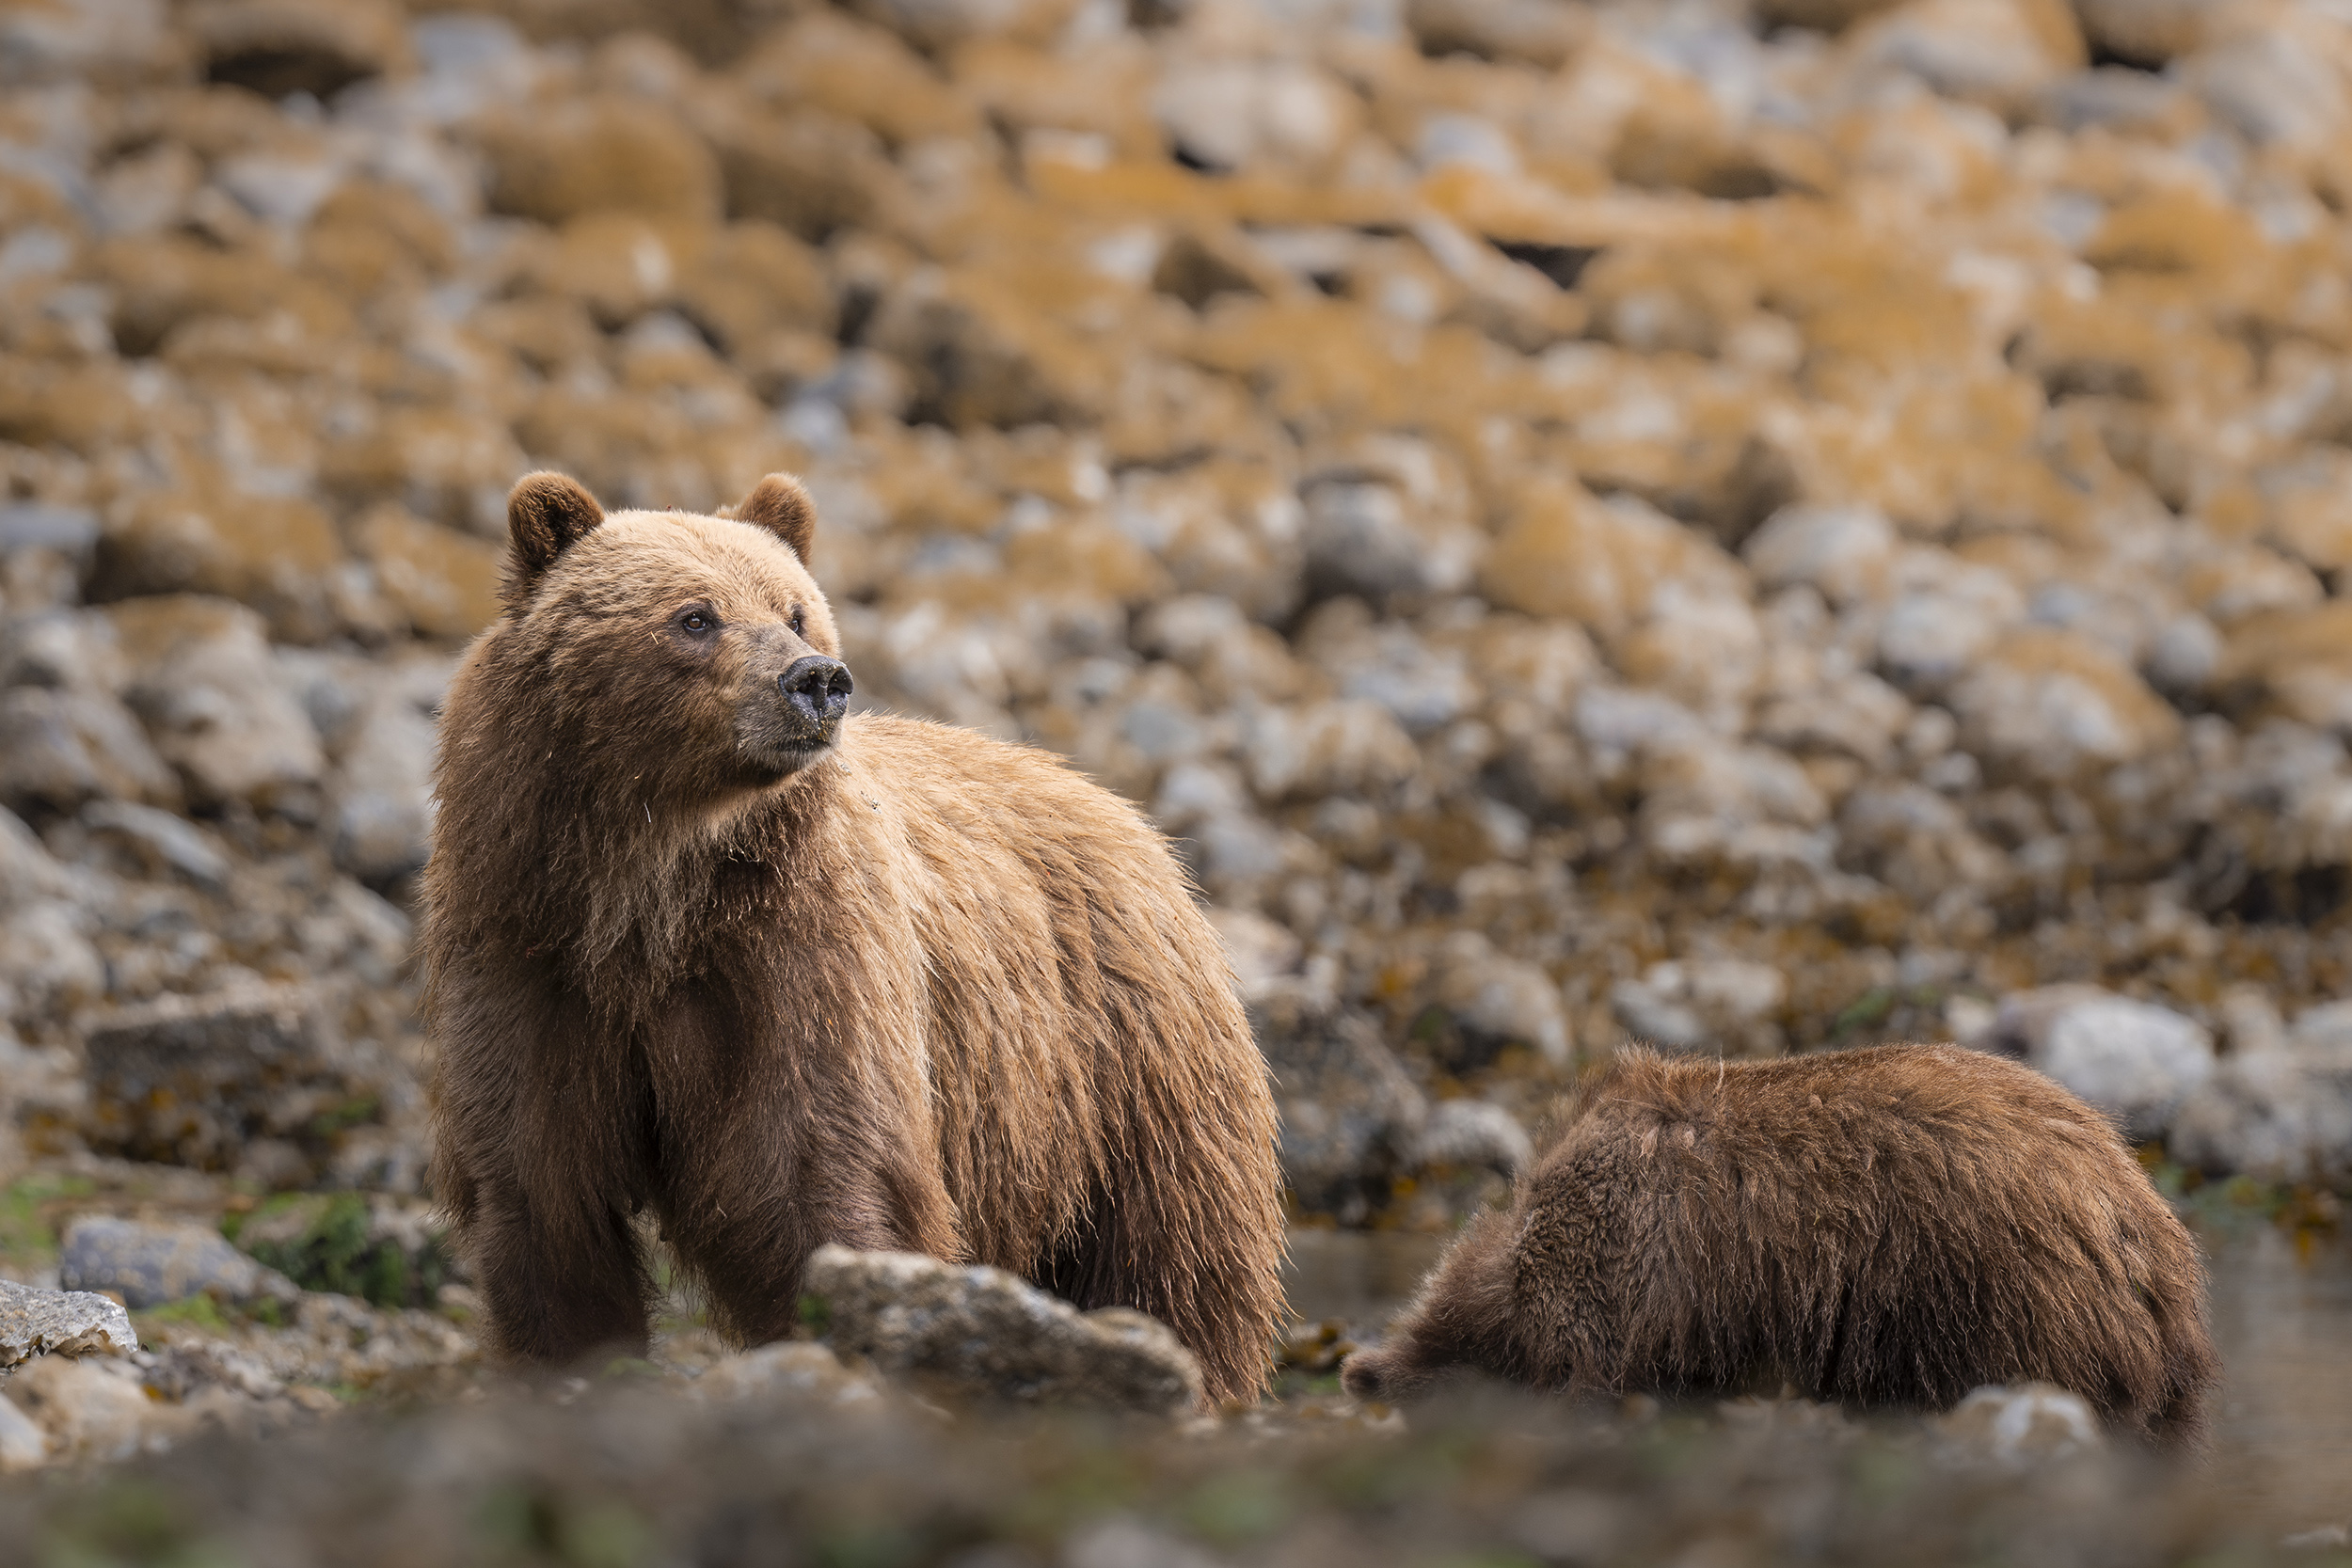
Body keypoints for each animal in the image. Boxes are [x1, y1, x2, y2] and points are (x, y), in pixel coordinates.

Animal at [422, 470, 1287, 1406]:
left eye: (796, 611)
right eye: (695, 615)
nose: (815, 679)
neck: (649, 896)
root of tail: (1124, 812)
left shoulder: (802, 955)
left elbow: (816, 1167)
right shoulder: (526, 949)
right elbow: (544, 1194)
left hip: (1127, 1076)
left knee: (1175, 1261)